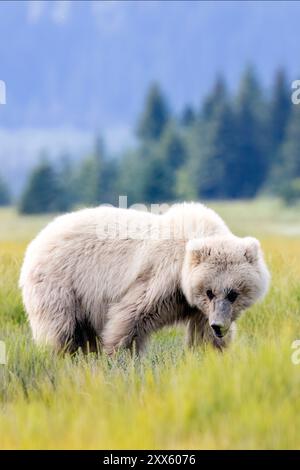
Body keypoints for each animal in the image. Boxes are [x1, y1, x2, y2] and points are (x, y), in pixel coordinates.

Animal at [19, 203, 270, 356]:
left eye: (233, 293)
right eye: (210, 292)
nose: (219, 325)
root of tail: (37, 241)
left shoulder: (198, 308)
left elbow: (203, 337)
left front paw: (211, 355)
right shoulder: (161, 279)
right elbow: (130, 317)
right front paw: (119, 358)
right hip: (61, 285)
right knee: (60, 331)